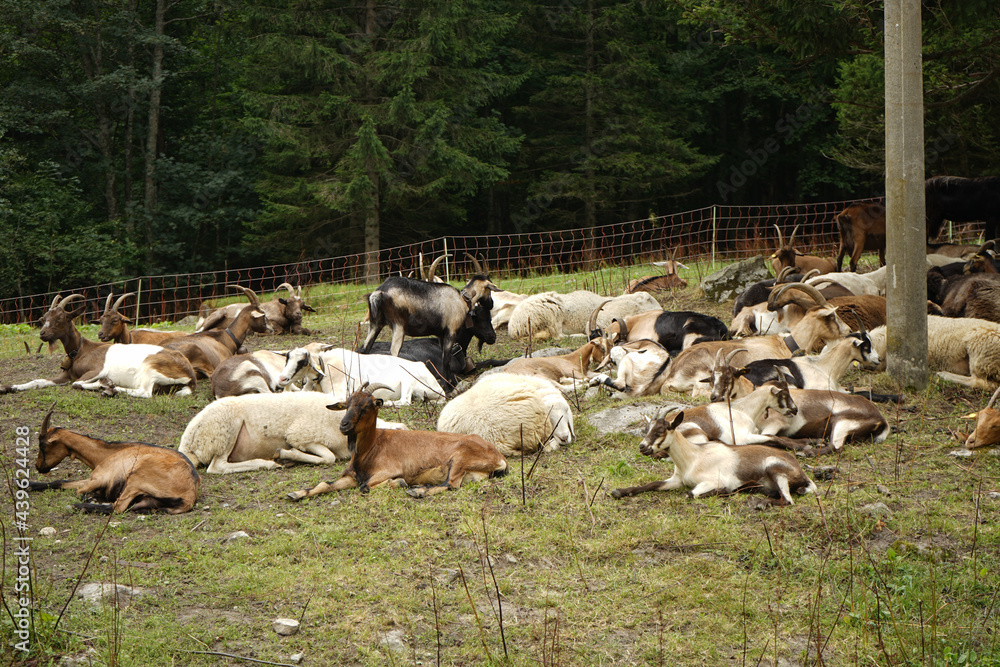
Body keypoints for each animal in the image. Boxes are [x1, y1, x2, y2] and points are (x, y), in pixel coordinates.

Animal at [30, 407, 199, 514]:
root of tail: (189, 496)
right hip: (147, 499)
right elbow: (60, 482)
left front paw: (92, 498)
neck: (107, 453)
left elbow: (80, 491)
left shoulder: (100, 478)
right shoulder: (92, 478)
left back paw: (79, 506)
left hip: (136, 478)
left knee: (117, 507)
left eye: (42, 445)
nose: (38, 466)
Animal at [177, 392, 408, 474]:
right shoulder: (302, 435)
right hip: (224, 430)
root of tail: (187, 442)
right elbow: (328, 458)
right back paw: (267, 463)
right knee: (217, 466)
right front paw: (287, 454)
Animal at [286, 384, 508, 500]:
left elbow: (365, 486)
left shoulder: (388, 470)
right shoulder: (350, 477)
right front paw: (295, 494)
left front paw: (399, 483)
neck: (372, 448)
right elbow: (325, 484)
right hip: (472, 473)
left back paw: (417, 491)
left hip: (460, 457)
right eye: (347, 405)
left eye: (366, 406)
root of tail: (498, 457)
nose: (344, 425)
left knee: (451, 484)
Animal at [358, 273, 497, 387]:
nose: (492, 337)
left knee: (364, 350)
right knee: (393, 354)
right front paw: (448, 386)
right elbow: (446, 360)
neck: (462, 299)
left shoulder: (441, 335)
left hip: (376, 323)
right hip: (399, 326)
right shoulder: (450, 332)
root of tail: (379, 293)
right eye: (479, 318)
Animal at [609, 411, 817, 505]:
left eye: (660, 430)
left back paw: (758, 501)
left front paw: (727, 490)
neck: (693, 458)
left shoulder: (711, 481)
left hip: (775, 468)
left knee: (787, 500)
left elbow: (691, 493)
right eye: (646, 430)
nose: (642, 447)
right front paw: (618, 492)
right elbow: (650, 484)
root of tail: (801, 472)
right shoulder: (676, 480)